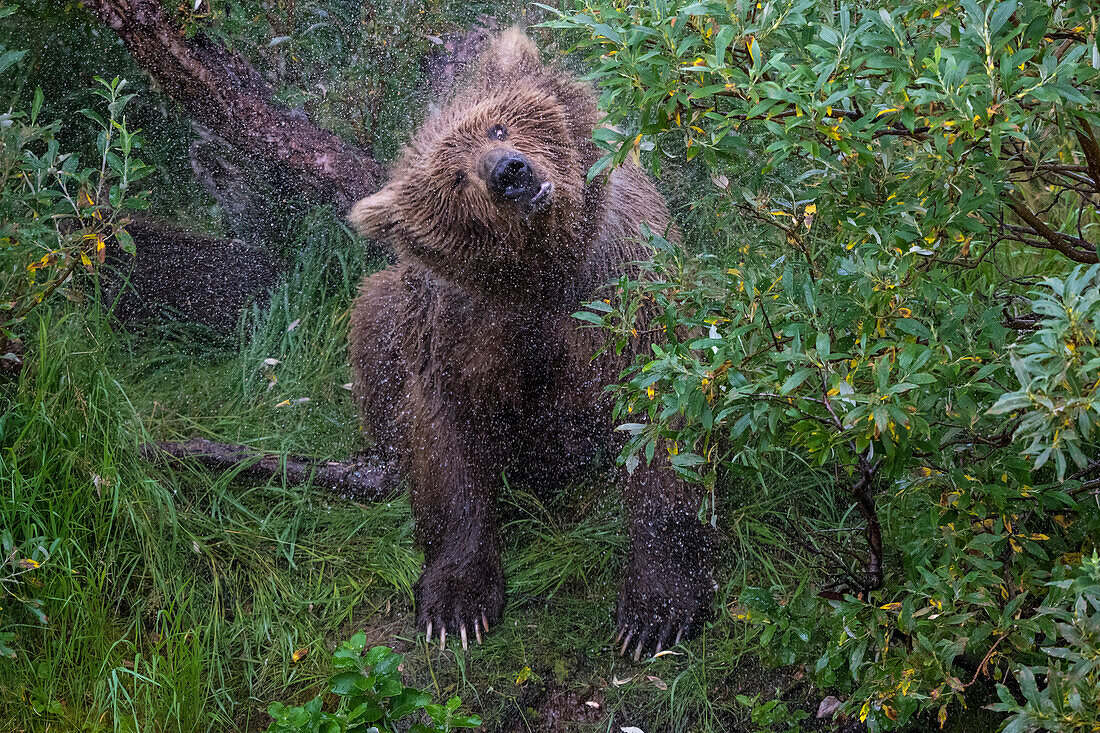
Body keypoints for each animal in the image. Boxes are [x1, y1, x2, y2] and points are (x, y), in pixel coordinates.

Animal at [347, 28, 717, 660]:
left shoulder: (617, 278)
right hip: (390, 313)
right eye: (453, 178)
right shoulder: (463, 327)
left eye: (497, 128)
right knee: (373, 322)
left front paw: (655, 612)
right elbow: (447, 437)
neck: (542, 271)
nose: (508, 172)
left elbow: (659, 416)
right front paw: (456, 603)